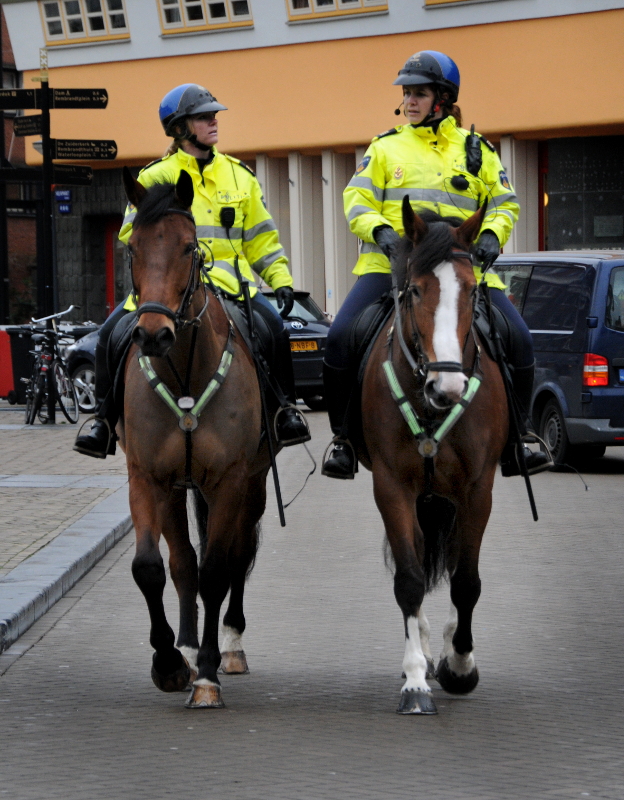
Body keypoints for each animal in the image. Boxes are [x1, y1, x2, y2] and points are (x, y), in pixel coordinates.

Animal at [118, 168, 272, 709]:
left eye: (189, 247)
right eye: (132, 247)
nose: (153, 334)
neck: (184, 371)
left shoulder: (230, 482)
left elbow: (217, 572)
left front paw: (206, 676)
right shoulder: (147, 478)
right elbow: (153, 567)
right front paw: (170, 664)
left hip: (251, 487)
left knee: (236, 557)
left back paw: (230, 647)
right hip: (178, 491)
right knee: (183, 561)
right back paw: (184, 650)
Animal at [359, 198, 508, 715]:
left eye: (472, 290)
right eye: (416, 290)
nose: (448, 387)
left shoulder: (478, 490)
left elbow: (467, 582)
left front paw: (460, 666)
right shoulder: (391, 487)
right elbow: (410, 579)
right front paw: (416, 682)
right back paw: (423, 652)